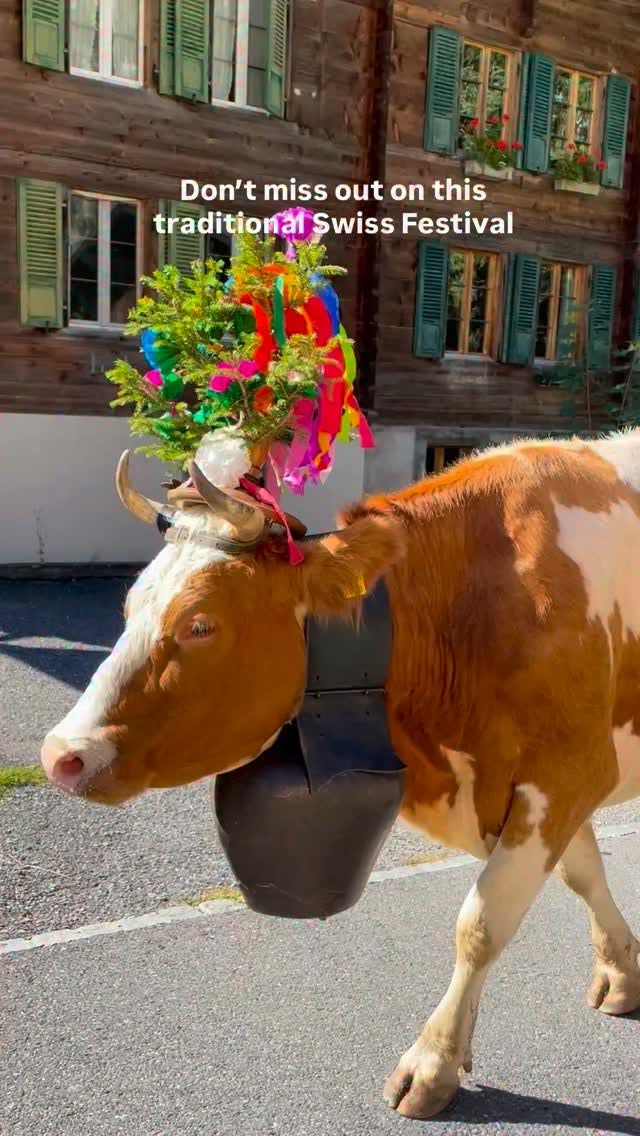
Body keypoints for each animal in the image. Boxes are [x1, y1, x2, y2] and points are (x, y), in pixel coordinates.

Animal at [41, 431, 640, 1120]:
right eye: (128, 604)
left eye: (200, 623)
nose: (61, 754)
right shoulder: (544, 786)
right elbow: (584, 874)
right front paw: (622, 972)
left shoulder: (566, 774)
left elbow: (481, 925)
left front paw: (432, 1064)